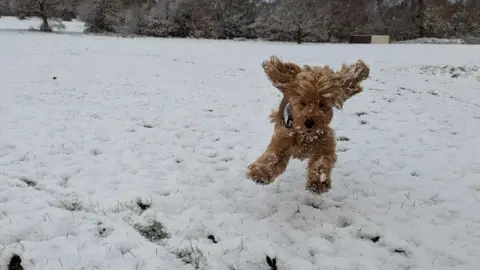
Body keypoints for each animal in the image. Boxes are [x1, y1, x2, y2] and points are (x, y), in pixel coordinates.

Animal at [246, 55, 370, 194]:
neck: (307, 136)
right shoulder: (282, 140)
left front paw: (319, 181)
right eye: (302, 102)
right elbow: (271, 157)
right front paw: (260, 173)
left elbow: (322, 162)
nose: (309, 122)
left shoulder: (325, 146)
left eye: (322, 104)